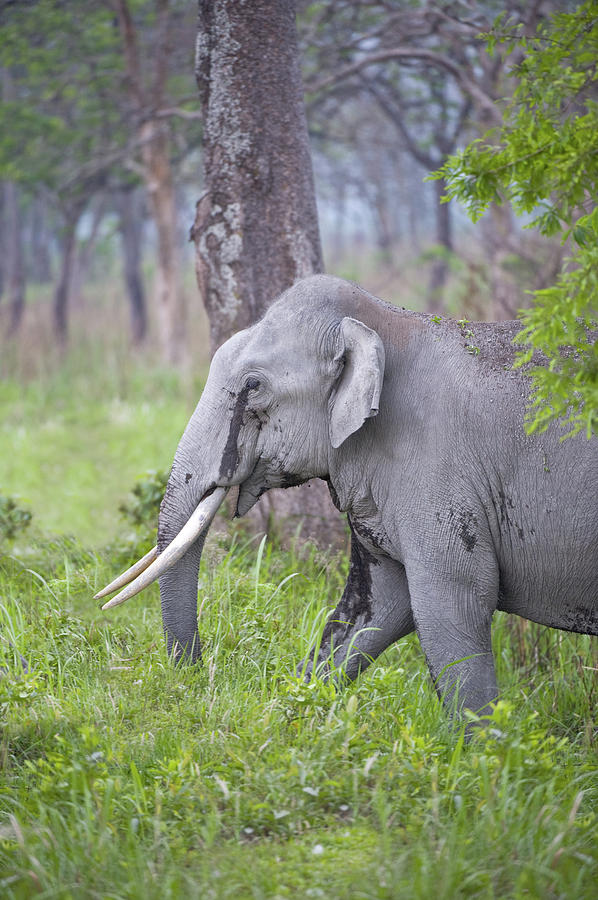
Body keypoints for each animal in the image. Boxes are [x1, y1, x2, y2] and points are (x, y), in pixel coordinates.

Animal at [97, 274, 598, 716]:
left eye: (253, 386)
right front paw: (290, 716)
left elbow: (453, 602)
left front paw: (485, 756)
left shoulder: (439, 471)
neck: (382, 323)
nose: (198, 676)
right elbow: (376, 608)